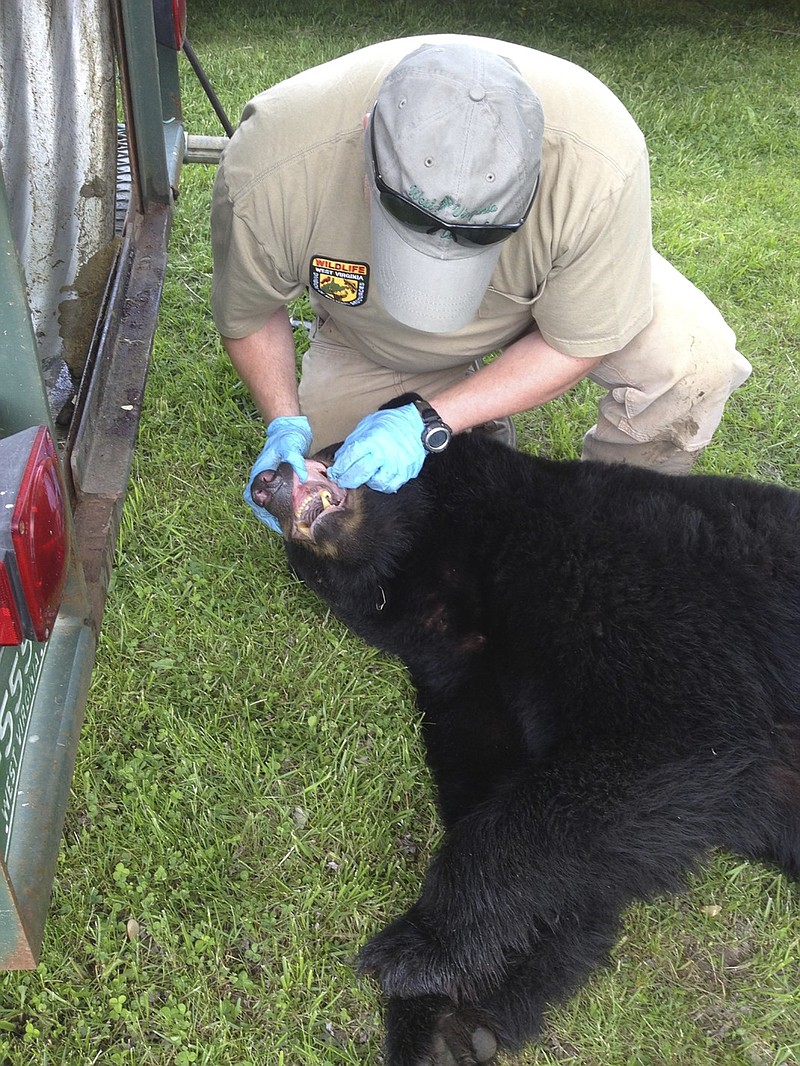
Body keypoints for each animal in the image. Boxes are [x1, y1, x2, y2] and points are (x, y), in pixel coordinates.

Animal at [250, 426, 800, 1066]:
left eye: (329, 453)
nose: (266, 482)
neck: (456, 575)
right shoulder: (471, 677)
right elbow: (540, 832)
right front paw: (447, 1019)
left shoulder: (613, 573)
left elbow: (668, 734)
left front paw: (415, 951)